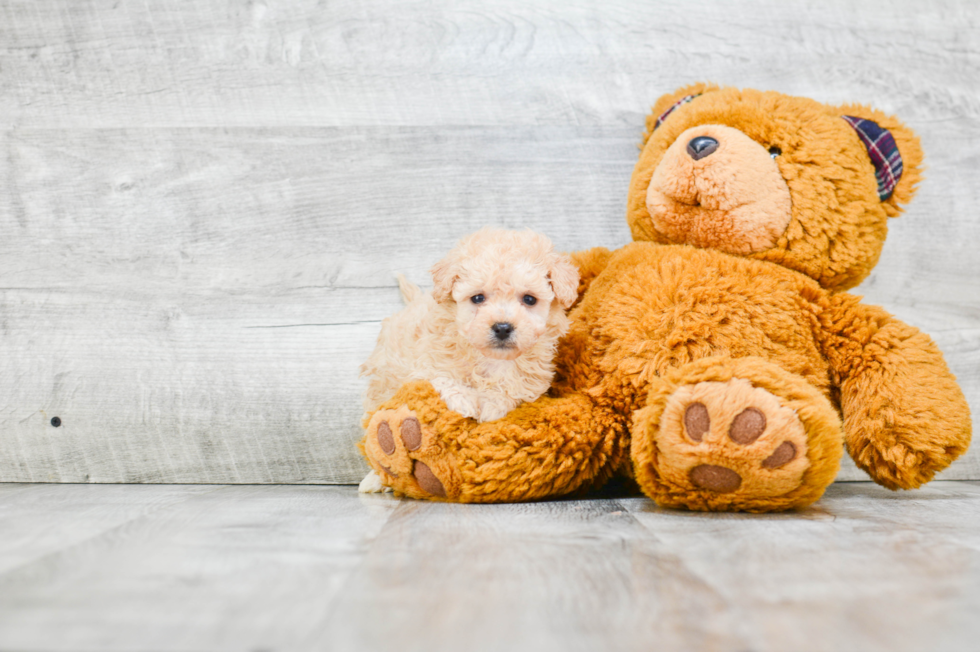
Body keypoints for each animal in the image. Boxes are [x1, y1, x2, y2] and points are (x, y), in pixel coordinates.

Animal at [360, 232, 580, 492]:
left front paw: (492, 404)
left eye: (529, 299)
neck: (489, 359)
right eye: (478, 298)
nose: (502, 327)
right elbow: (442, 377)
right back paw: (375, 478)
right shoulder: (423, 364)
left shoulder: (529, 381)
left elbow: (510, 390)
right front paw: (463, 400)